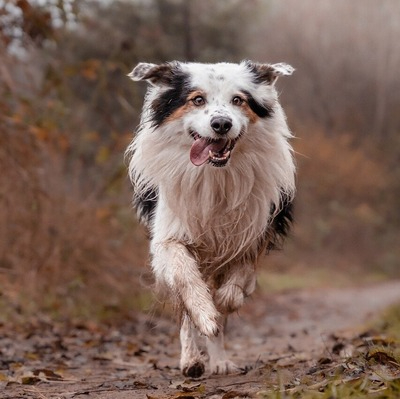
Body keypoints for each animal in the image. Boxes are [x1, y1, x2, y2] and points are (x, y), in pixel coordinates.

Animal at [126, 60, 296, 378]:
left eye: (238, 100)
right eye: (197, 100)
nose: (221, 124)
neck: (215, 176)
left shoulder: (253, 234)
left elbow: (234, 289)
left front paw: (219, 309)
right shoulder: (168, 239)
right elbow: (187, 282)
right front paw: (205, 314)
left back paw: (218, 361)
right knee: (184, 307)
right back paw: (191, 360)